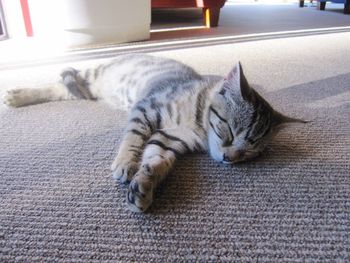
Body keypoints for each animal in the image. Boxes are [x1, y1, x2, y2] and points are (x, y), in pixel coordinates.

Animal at [2, 53, 304, 212]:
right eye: (229, 130)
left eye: (249, 152)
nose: (230, 158)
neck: (196, 122)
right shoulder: (146, 109)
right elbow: (133, 138)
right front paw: (125, 163)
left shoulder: (169, 138)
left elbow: (159, 158)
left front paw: (146, 182)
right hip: (95, 74)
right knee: (67, 76)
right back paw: (18, 95)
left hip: (88, 89)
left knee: (65, 88)